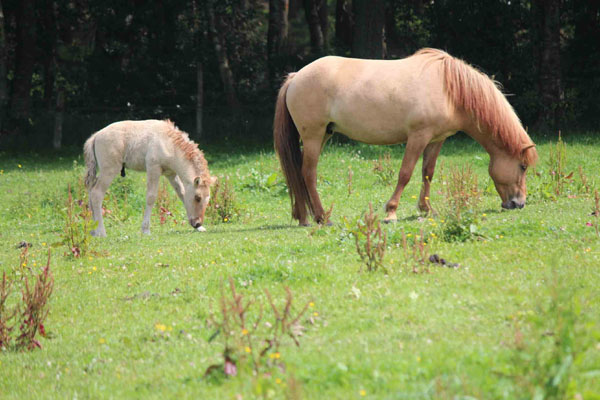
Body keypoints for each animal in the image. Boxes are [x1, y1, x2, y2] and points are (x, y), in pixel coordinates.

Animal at [83, 120, 217, 236]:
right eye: (198, 197)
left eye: (207, 199)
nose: (197, 223)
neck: (169, 143)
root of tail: (96, 136)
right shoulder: (154, 168)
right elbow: (151, 197)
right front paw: (146, 230)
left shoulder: (171, 174)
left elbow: (182, 194)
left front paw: (200, 228)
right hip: (110, 170)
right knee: (96, 194)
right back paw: (101, 232)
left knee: (90, 192)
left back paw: (93, 231)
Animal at [274, 47, 536, 225]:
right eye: (522, 166)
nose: (519, 204)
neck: (449, 89)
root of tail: (296, 77)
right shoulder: (418, 136)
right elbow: (405, 173)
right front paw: (391, 212)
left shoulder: (436, 139)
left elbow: (427, 173)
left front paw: (426, 209)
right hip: (313, 136)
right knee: (308, 173)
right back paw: (321, 217)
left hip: (322, 136)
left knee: (298, 174)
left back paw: (303, 217)